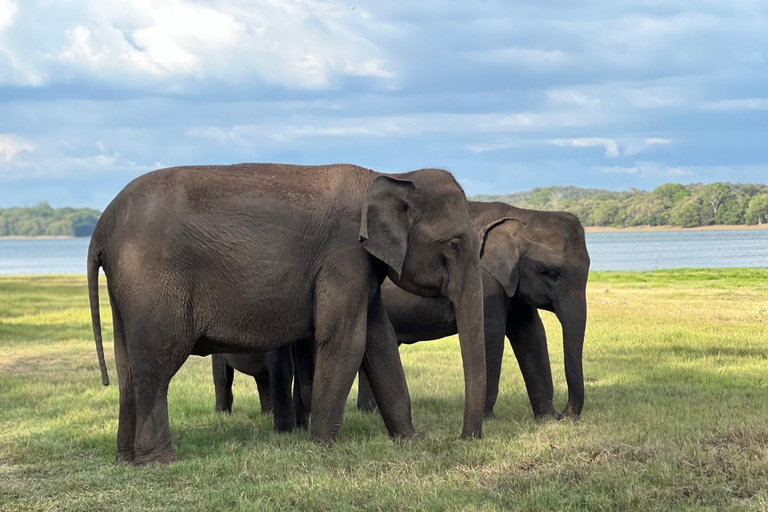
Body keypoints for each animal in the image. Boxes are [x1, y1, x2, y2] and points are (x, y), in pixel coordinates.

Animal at [87, 163, 488, 464]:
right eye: (454, 244)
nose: (463, 439)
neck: (387, 175)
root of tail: (101, 229)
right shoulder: (343, 257)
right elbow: (345, 341)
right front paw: (322, 446)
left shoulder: (362, 269)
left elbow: (380, 343)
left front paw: (409, 441)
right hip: (153, 284)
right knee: (157, 364)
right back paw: (160, 461)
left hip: (128, 290)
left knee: (128, 368)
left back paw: (126, 459)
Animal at [356, 202, 592, 422]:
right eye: (551, 273)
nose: (565, 415)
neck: (521, 215)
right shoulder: (485, 281)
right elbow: (491, 334)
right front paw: (488, 419)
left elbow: (531, 335)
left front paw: (546, 417)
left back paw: (368, 412)